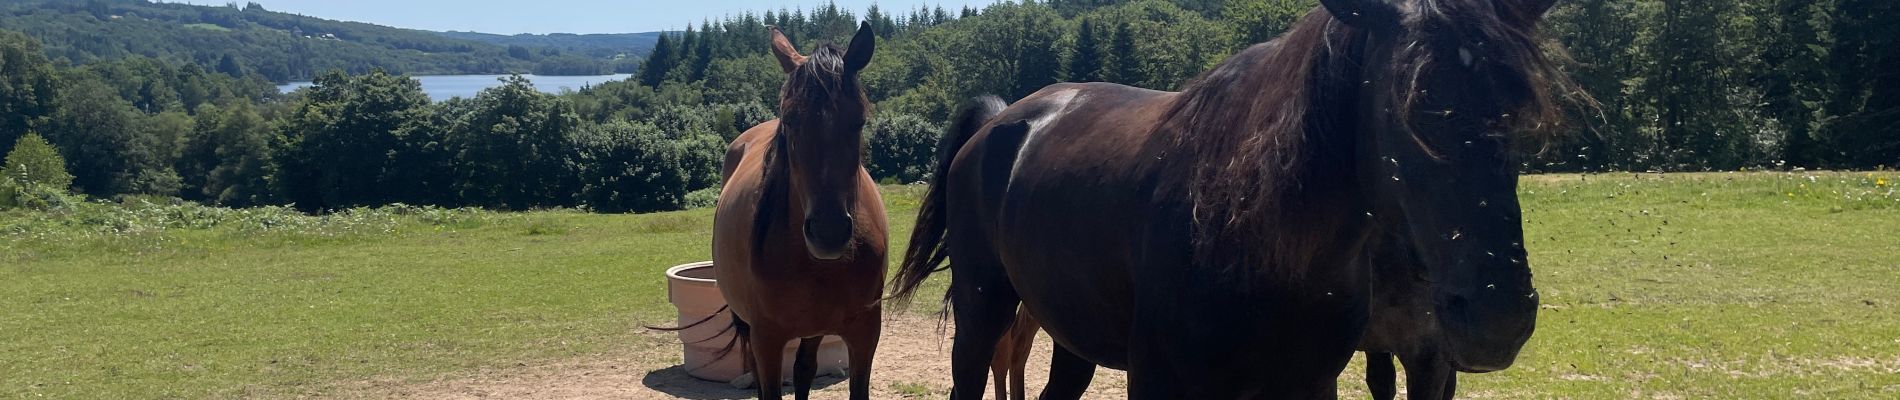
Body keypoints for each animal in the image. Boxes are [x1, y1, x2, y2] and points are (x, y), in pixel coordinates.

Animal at [714, 22, 885, 400]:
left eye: (859, 121)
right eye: (790, 120)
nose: (828, 232)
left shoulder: (866, 334)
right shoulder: (767, 340)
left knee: (805, 369)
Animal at [881, 0, 1565, 396]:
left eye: (1522, 106)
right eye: (1405, 105)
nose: (1498, 317)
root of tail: (1001, 120)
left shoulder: (1312, 383)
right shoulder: (1162, 382)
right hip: (985, 305)